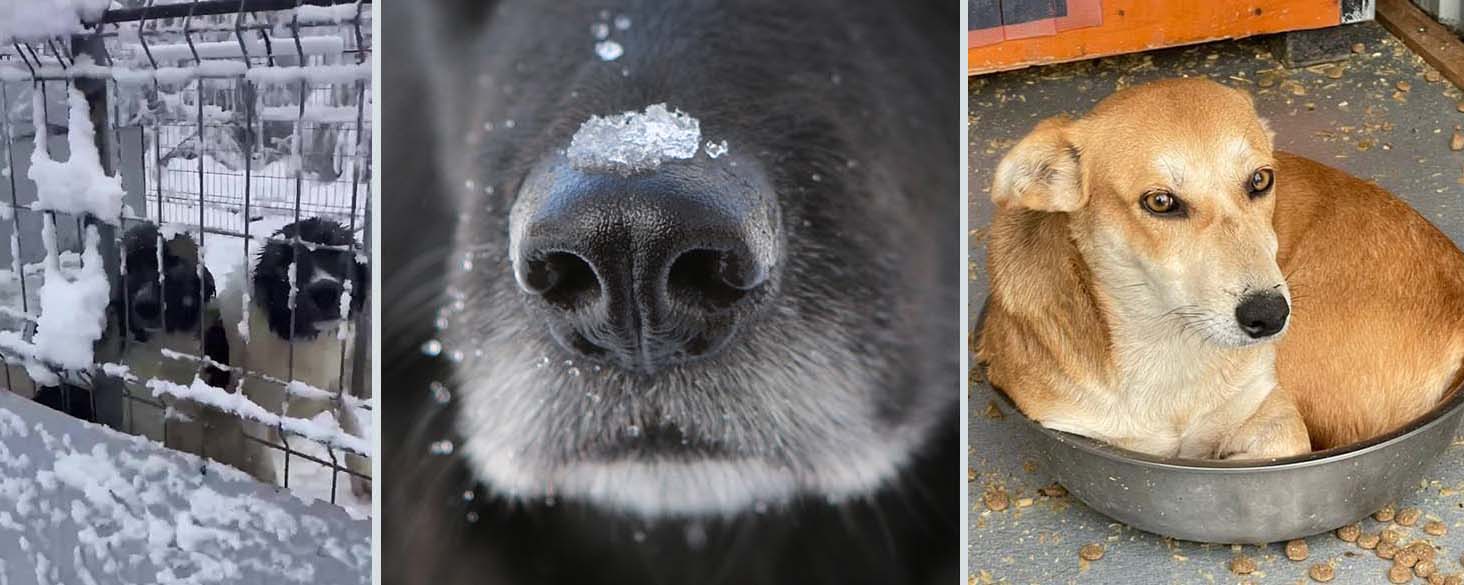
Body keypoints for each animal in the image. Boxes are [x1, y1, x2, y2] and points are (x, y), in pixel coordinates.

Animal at [223, 219, 371, 494]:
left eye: (336, 252)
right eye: (285, 265)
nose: (325, 291)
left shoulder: (331, 385)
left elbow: (351, 422)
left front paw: (364, 473)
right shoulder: (253, 408)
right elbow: (262, 463)